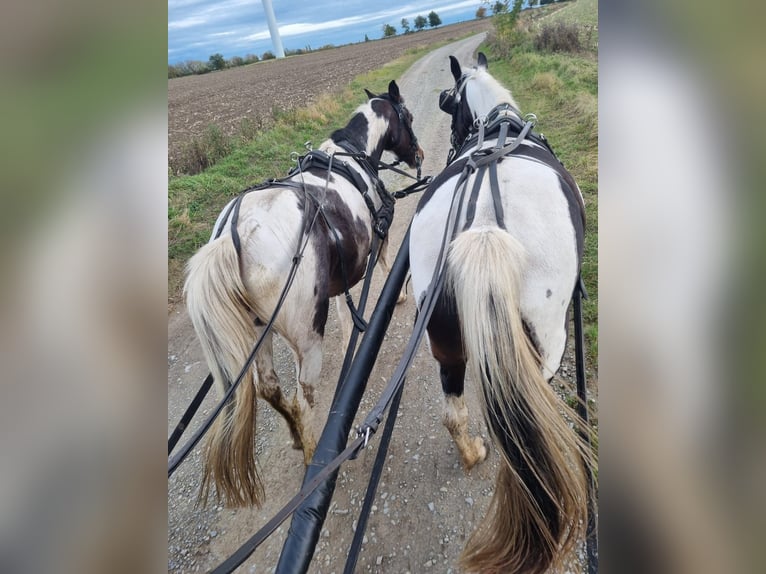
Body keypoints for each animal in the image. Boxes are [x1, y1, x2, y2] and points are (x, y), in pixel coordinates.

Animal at [186, 81, 426, 508]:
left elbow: (346, 302)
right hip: (307, 333)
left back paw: (298, 436)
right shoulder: (376, 239)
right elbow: (382, 265)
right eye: (408, 117)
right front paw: (395, 297)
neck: (351, 156)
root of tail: (234, 236)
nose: (419, 155)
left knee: (270, 388)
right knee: (303, 397)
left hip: (258, 333)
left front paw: (352, 333)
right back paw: (313, 456)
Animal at [412, 53, 596, 572]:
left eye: (448, 105)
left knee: (454, 411)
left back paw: (473, 453)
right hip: (546, 346)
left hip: (443, 337)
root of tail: (483, 227)